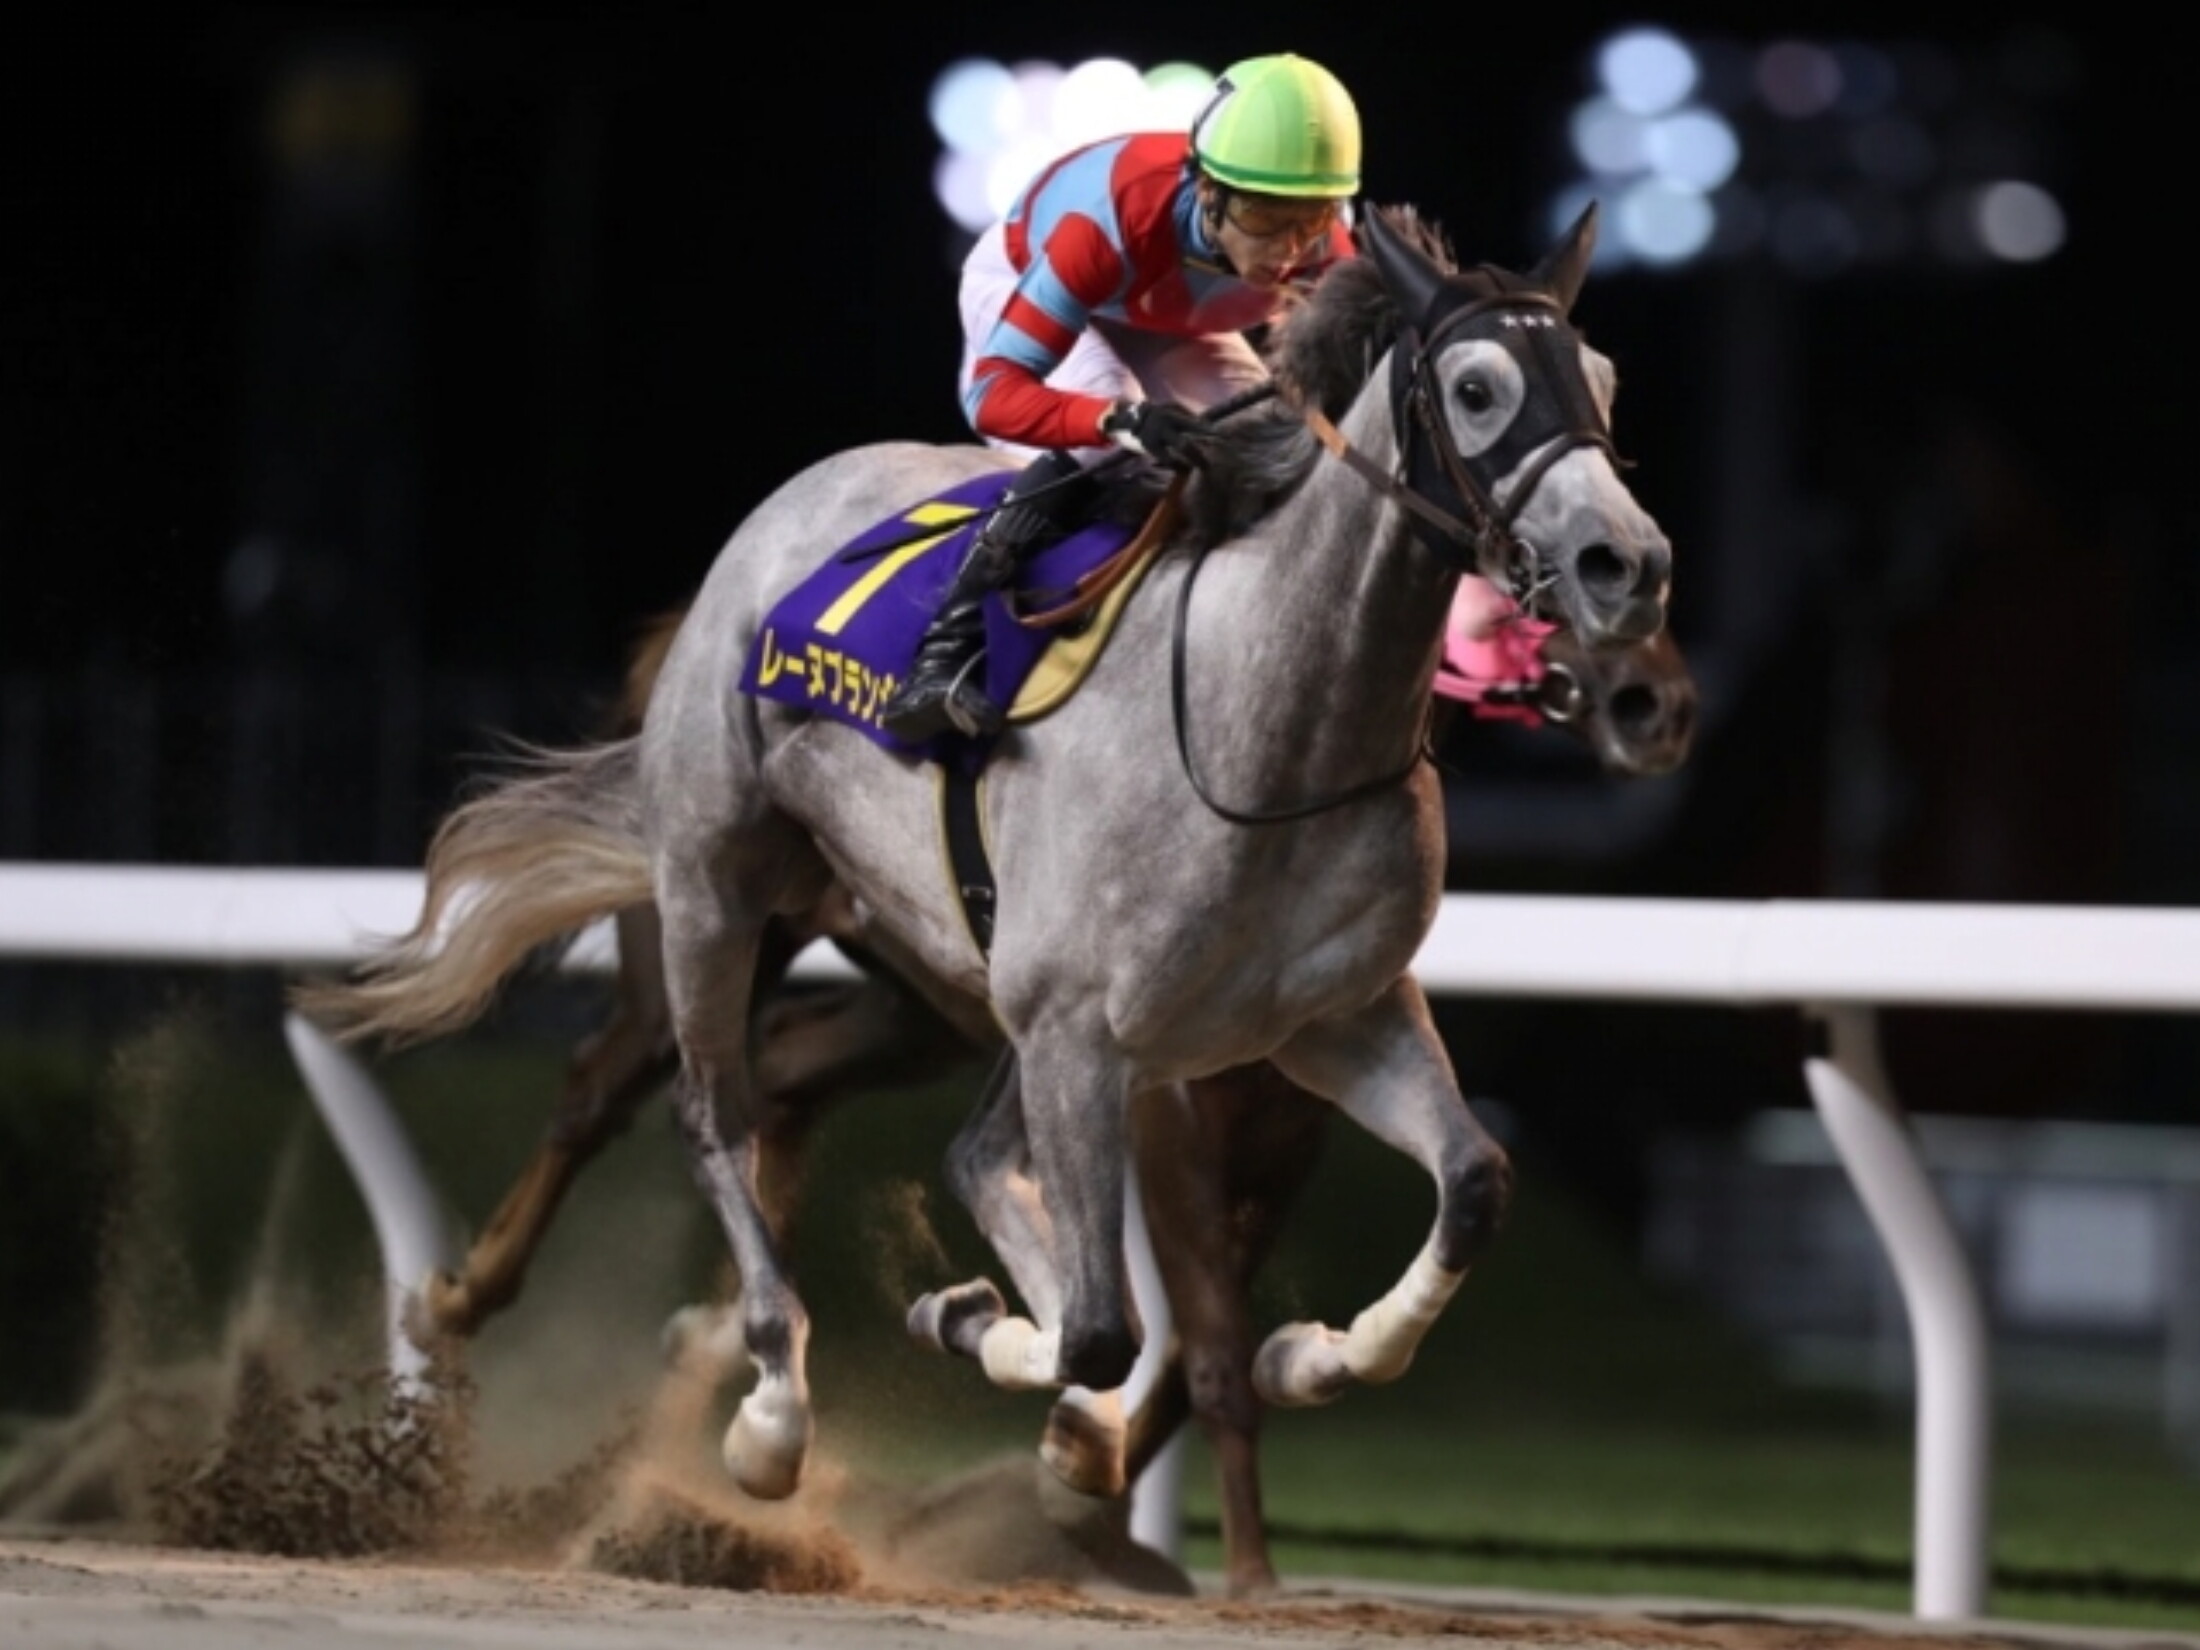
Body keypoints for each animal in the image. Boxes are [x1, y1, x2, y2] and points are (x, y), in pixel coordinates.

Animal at [292, 198, 1676, 1506]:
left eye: (1604, 381)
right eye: (1477, 388)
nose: (1629, 569)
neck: (1264, 732)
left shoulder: (1330, 1016)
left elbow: (1474, 1182)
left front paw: (1302, 1357)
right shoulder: (1078, 1028)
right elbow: (1103, 1324)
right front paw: (965, 1325)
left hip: (931, 978)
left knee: (894, 1127)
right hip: (715, 886)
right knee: (701, 1107)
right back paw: (750, 1399)